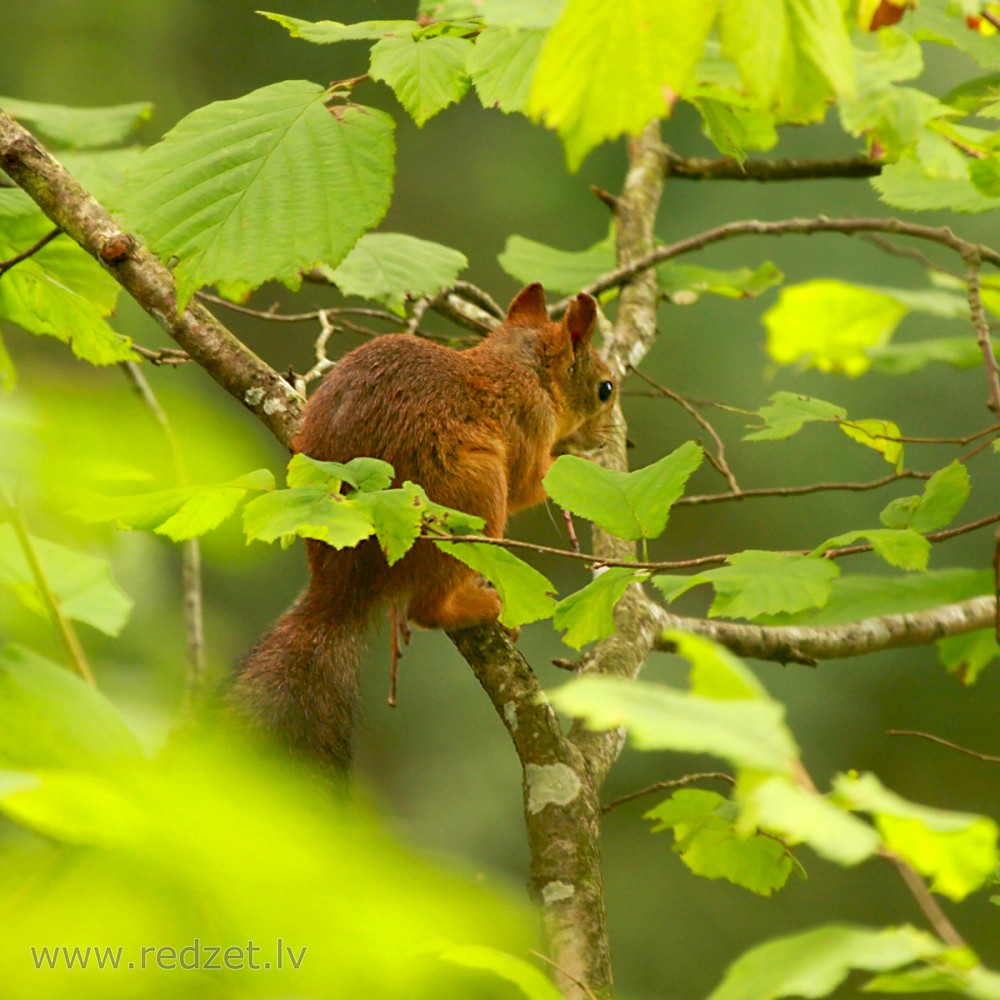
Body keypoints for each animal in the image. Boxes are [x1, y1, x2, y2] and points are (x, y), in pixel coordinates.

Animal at [229, 286, 612, 768]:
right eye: (605, 389)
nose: (606, 439)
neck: (520, 364)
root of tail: (345, 580)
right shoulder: (530, 419)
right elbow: (530, 482)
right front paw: (575, 458)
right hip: (472, 498)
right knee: (425, 609)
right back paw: (477, 606)